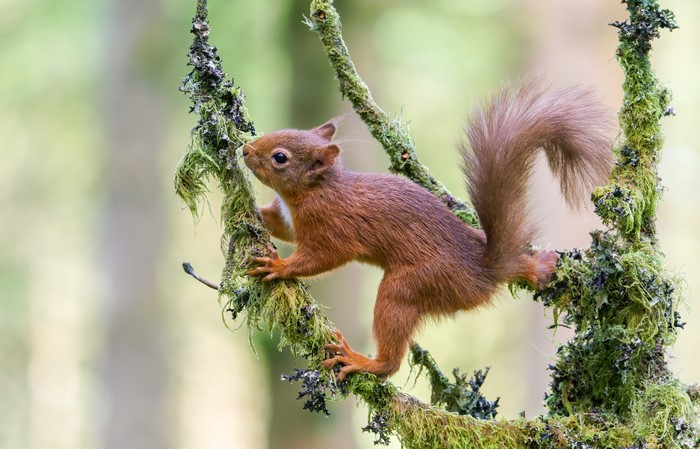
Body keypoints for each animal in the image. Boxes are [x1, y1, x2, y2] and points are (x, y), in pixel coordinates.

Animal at [243, 80, 614, 380]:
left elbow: (320, 258)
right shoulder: (290, 219)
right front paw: (252, 212)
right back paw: (540, 267)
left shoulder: (331, 226)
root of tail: (486, 270)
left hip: (411, 286)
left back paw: (364, 362)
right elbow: (280, 226)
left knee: (391, 353)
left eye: (280, 158)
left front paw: (279, 266)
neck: (314, 190)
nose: (244, 149)